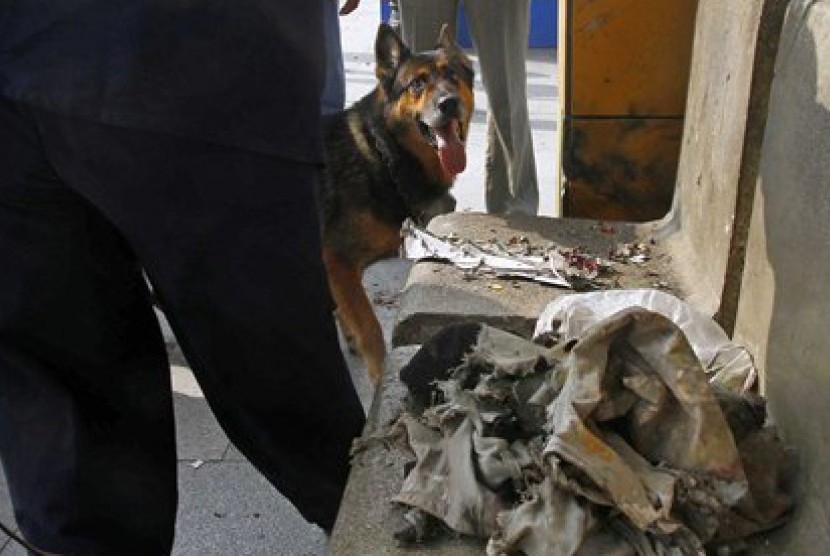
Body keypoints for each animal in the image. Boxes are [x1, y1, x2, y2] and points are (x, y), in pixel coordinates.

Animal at [318, 23, 474, 384]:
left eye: (453, 75)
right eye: (417, 83)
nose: (449, 103)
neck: (382, 153)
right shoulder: (336, 260)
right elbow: (372, 331)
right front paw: (378, 375)